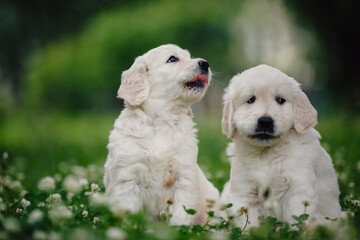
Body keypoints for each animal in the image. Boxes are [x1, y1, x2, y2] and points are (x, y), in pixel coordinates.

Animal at [102, 43, 218, 225]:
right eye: (172, 59)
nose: (205, 64)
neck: (163, 120)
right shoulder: (128, 178)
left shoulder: (184, 178)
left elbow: (180, 216)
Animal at [221, 64, 342, 228]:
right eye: (250, 100)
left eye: (280, 100)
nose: (265, 121)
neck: (266, 153)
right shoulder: (244, 191)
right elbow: (249, 223)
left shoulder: (299, 189)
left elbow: (297, 220)